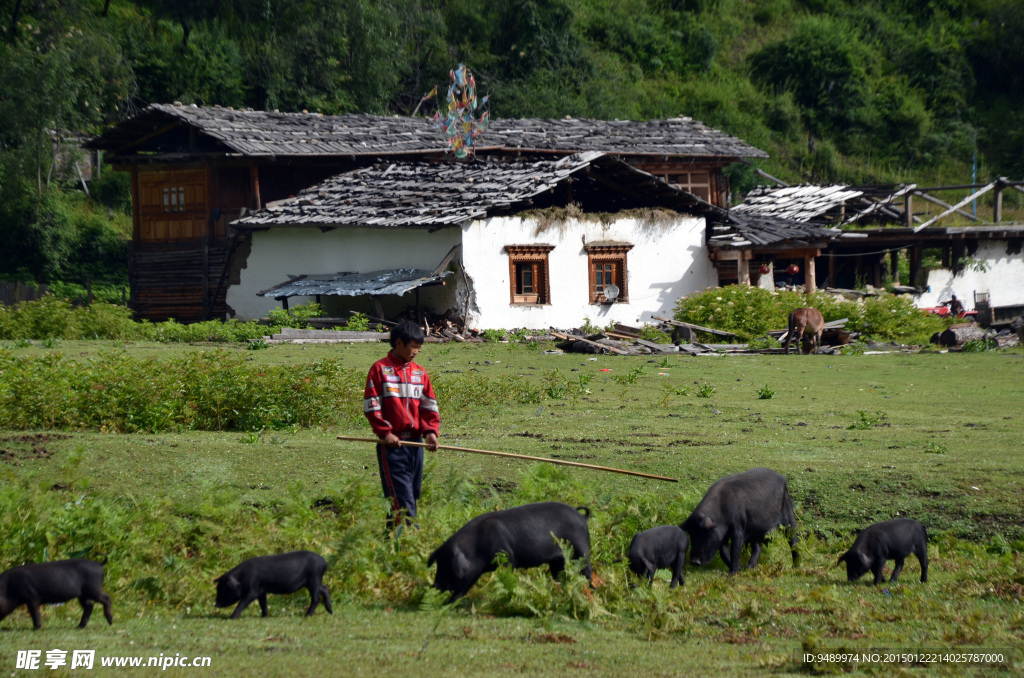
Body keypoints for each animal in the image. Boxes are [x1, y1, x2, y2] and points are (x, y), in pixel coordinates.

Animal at [428, 503, 598, 606]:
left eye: (448, 566)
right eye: (438, 563)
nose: (434, 585)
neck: (476, 547)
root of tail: (582, 516)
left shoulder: (506, 558)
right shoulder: (475, 572)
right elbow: (463, 588)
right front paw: (448, 605)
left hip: (581, 549)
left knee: (588, 572)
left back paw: (592, 594)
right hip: (557, 562)